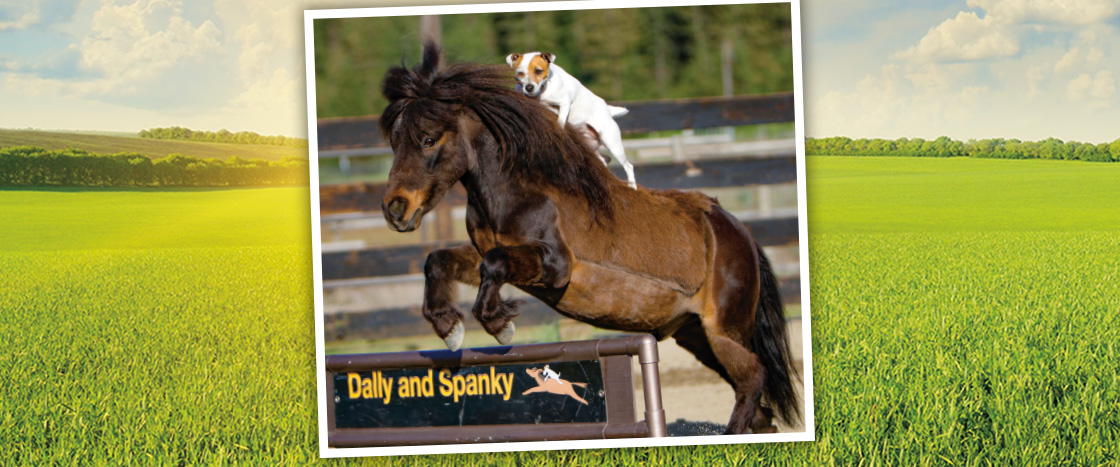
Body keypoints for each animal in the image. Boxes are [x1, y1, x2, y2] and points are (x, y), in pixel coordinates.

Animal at [378, 43, 797, 432]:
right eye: (395, 141)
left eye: (429, 139)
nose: (395, 209)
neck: (519, 190)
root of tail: (737, 231)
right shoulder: (490, 251)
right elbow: (441, 261)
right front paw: (449, 328)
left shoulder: (555, 265)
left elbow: (493, 267)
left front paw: (499, 324)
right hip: (697, 336)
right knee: (755, 400)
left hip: (724, 332)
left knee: (753, 380)